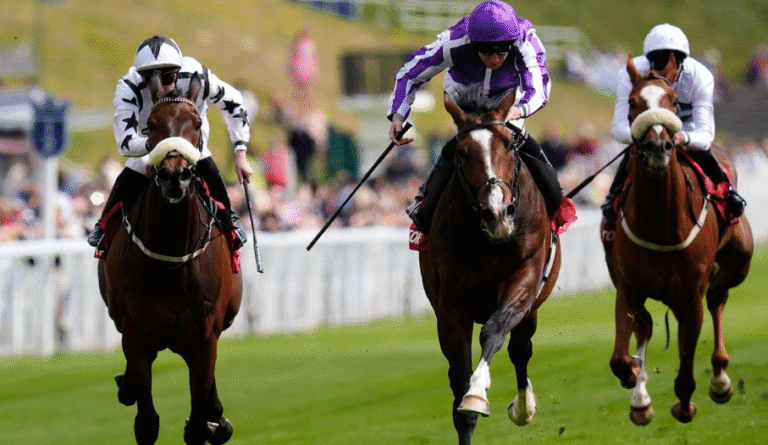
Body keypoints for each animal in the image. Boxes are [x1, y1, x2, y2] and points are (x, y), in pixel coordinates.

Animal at [98, 72, 242, 445]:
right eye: (150, 125)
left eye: (196, 124)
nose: (174, 175)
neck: (172, 257)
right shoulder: (135, 333)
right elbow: (147, 423)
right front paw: (130, 388)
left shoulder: (204, 338)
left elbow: (197, 423)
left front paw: (213, 421)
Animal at [419, 92, 561, 445]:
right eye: (461, 152)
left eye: (510, 145)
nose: (497, 212)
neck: (488, 241)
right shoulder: (451, 307)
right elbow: (459, 382)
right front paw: (470, 399)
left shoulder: (524, 277)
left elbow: (495, 331)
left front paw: (478, 393)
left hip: (532, 306)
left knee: (521, 349)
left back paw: (523, 409)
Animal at [603, 54, 753, 425]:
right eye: (633, 103)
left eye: (672, 102)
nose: (658, 146)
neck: (661, 222)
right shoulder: (628, 286)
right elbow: (620, 357)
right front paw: (634, 380)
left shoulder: (690, 295)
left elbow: (686, 369)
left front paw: (685, 404)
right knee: (645, 326)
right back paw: (641, 398)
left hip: (739, 262)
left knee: (718, 299)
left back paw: (720, 379)